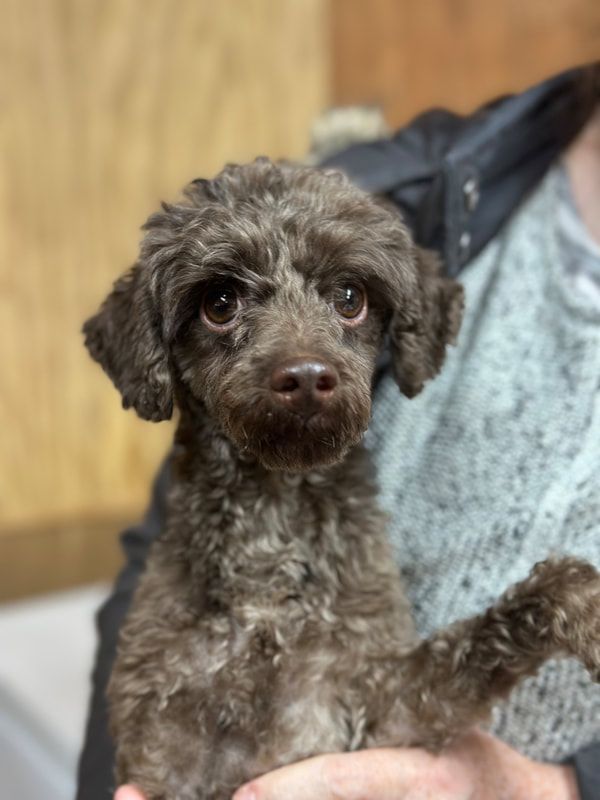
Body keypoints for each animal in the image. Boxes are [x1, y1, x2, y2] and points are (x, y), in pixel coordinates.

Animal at [83, 158, 600, 800]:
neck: (272, 521)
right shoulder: (164, 748)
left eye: (350, 296)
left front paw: (586, 609)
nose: (306, 376)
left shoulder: (382, 704)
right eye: (219, 302)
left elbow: (492, 636)